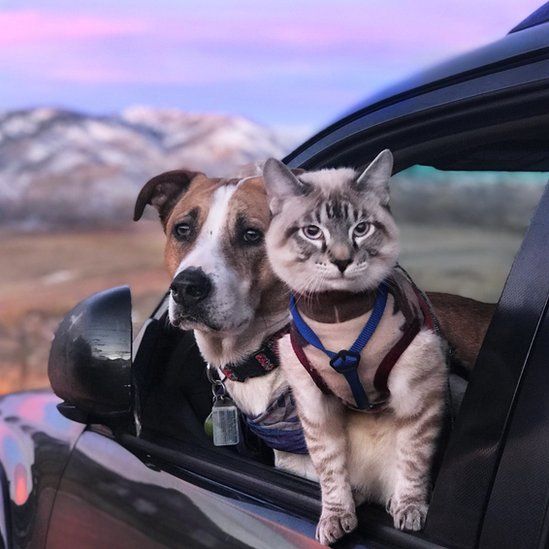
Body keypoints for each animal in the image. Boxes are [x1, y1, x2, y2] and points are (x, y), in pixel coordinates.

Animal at [264, 149, 448, 544]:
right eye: (312, 231)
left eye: (360, 229)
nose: (342, 260)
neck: (338, 317)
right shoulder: (314, 405)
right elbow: (330, 471)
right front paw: (335, 517)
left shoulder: (417, 390)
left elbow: (413, 458)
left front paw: (410, 508)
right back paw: (360, 495)